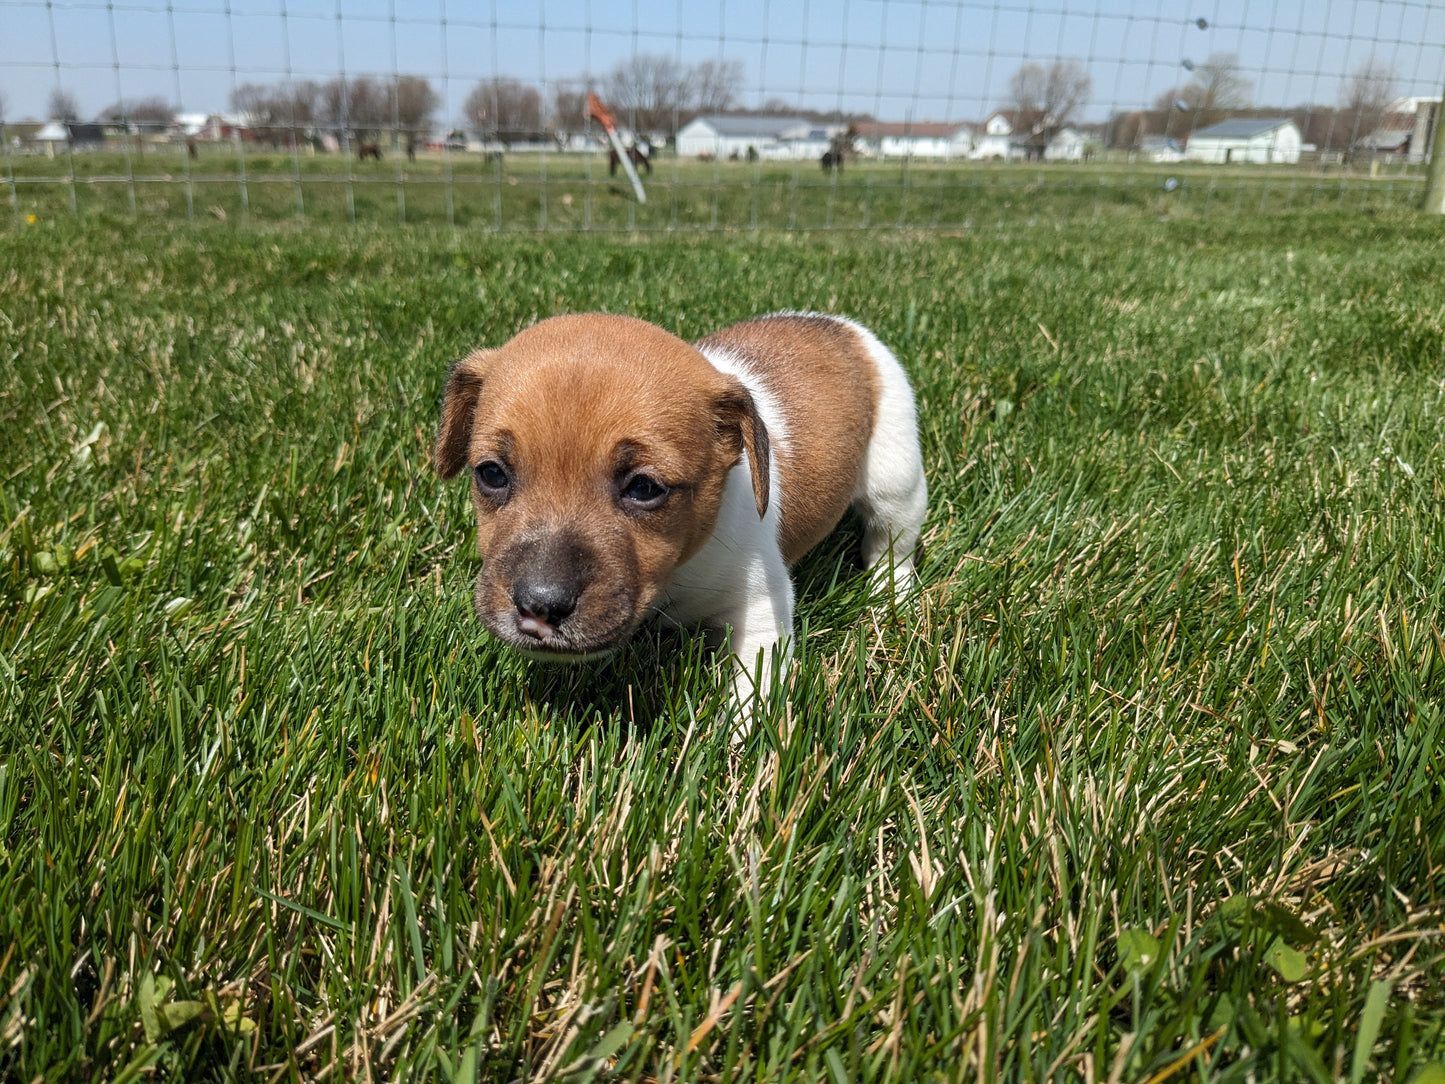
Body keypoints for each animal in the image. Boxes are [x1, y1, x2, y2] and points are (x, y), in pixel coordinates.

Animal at [430, 312, 924, 722]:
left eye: (645, 488)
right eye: (491, 474)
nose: (539, 606)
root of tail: (838, 326)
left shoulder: (762, 610)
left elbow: (752, 690)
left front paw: (740, 749)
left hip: (896, 480)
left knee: (892, 546)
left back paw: (891, 597)